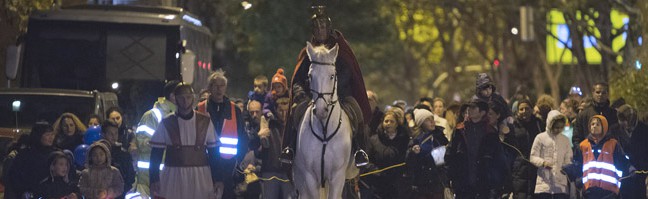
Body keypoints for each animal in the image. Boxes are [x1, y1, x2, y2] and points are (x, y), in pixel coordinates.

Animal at [294, 41, 360, 198]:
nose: (320, 110)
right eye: (310, 76)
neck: (324, 130)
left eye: (331, 76)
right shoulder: (310, 177)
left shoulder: (337, 176)